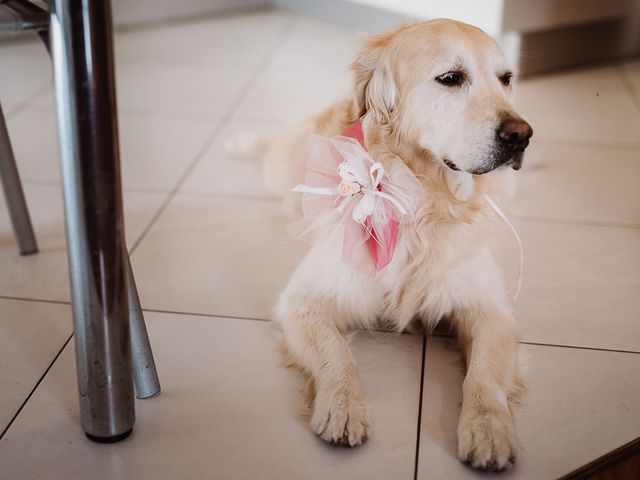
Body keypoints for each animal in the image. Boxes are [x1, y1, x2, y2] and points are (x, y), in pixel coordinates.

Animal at [260, 17, 528, 468]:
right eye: (451, 78)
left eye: (506, 79)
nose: (522, 135)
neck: (421, 203)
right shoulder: (302, 301)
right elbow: (336, 352)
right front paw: (342, 406)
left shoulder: (491, 310)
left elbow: (485, 374)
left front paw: (488, 427)